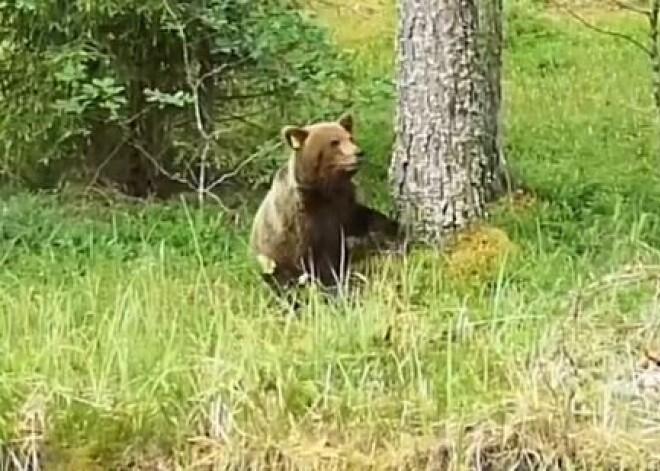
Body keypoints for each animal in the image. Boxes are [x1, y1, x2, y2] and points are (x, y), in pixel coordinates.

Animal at [249, 113, 400, 298]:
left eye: (350, 137)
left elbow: (364, 220)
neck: (325, 190)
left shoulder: (344, 207)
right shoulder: (302, 221)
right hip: (271, 260)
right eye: (334, 142)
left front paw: (391, 228)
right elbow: (318, 258)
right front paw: (334, 285)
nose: (359, 153)